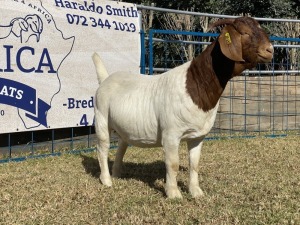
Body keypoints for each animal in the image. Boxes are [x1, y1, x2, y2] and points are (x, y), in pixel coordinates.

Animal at [92, 16, 274, 199]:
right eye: (244, 33)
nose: (270, 50)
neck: (195, 84)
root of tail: (106, 78)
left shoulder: (198, 136)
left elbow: (194, 164)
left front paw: (196, 192)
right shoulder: (171, 134)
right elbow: (173, 164)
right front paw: (173, 193)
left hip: (123, 127)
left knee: (121, 146)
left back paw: (117, 174)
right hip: (101, 118)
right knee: (102, 148)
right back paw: (106, 180)